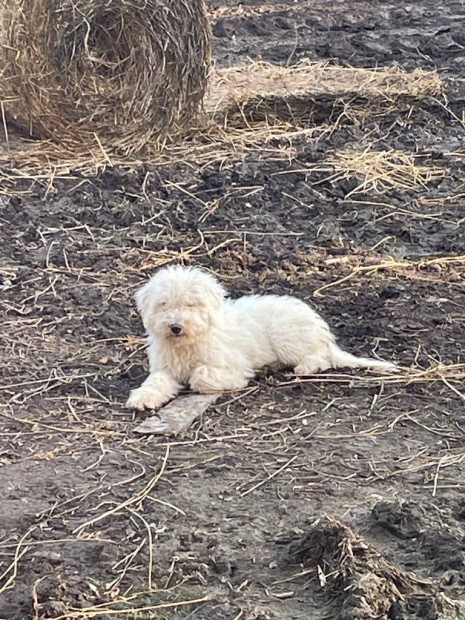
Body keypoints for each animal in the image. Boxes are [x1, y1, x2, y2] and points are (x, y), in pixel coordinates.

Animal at [125, 264, 396, 410]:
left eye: (190, 304)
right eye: (163, 304)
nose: (175, 326)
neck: (187, 343)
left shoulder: (234, 367)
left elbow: (201, 375)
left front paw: (196, 379)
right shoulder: (164, 368)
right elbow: (156, 382)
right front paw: (143, 397)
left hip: (287, 337)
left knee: (321, 356)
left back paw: (305, 366)